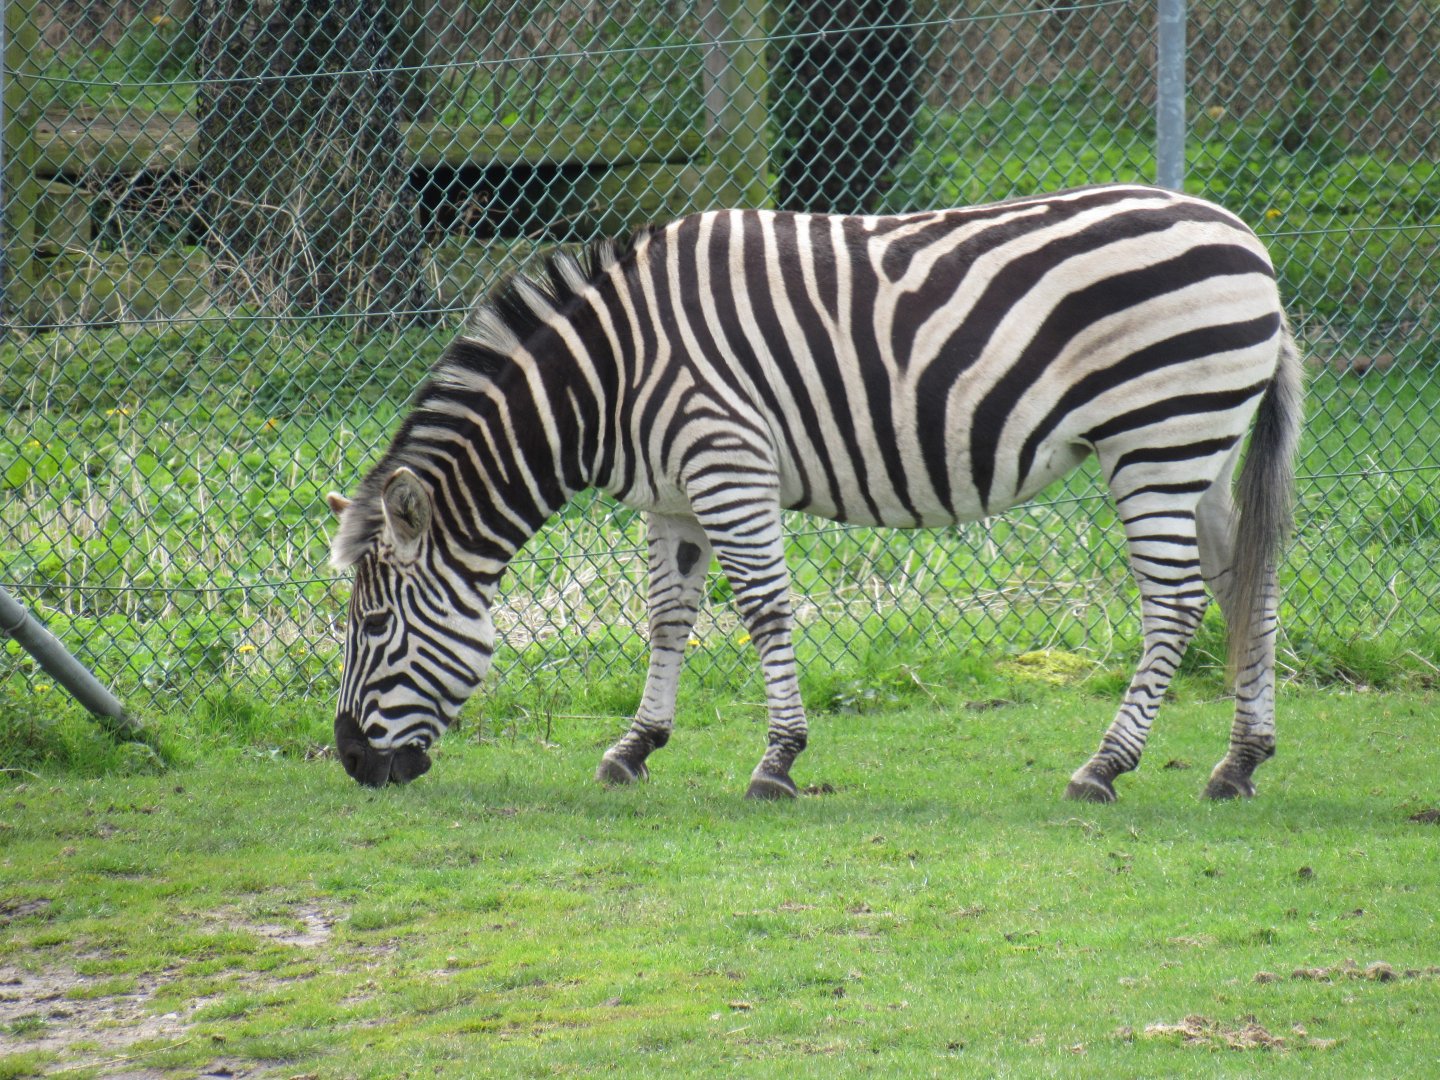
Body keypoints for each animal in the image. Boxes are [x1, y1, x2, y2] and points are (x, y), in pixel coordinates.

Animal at [325, 183, 1302, 803]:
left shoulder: (726, 461)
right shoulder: (672, 496)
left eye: (370, 626)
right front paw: (635, 747)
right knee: (1246, 586)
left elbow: (762, 609)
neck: (608, 379)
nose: (349, 762)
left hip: (1155, 439)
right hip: (1200, 447)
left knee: (1175, 603)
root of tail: (1249, 242)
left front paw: (777, 761)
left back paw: (1105, 767)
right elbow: (668, 616)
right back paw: (1240, 765)